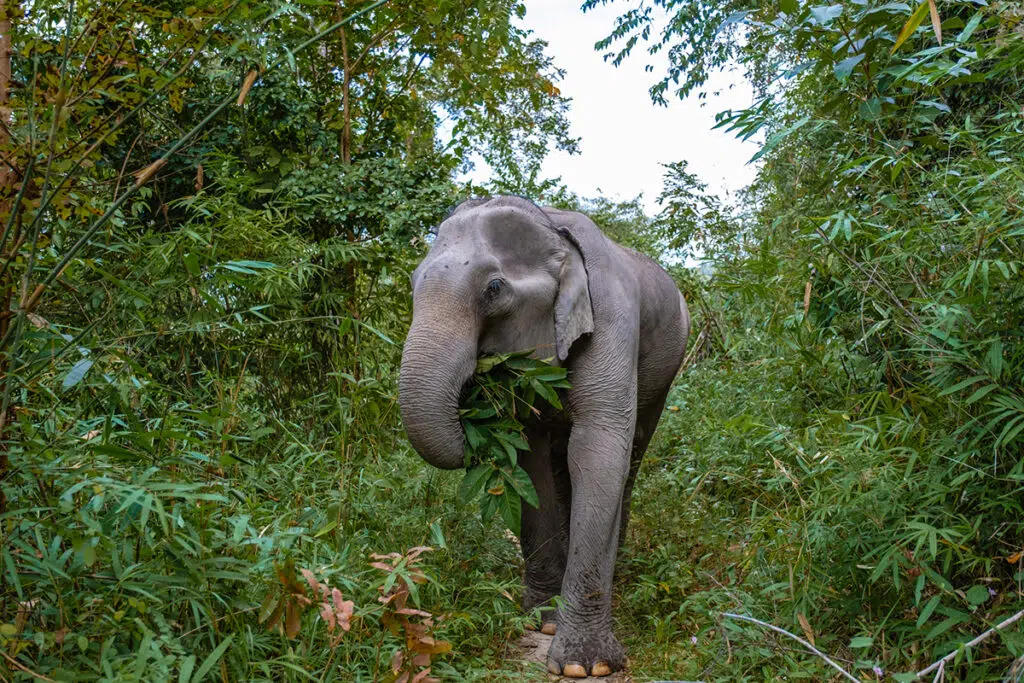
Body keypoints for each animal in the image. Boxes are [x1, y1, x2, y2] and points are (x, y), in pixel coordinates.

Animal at [398, 195, 689, 678]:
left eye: (494, 289)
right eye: (413, 283)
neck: (552, 229)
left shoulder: (612, 319)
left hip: (665, 371)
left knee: (631, 455)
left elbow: (598, 450)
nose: (473, 405)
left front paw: (584, 666)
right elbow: (529, 459)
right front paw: (541, 621)